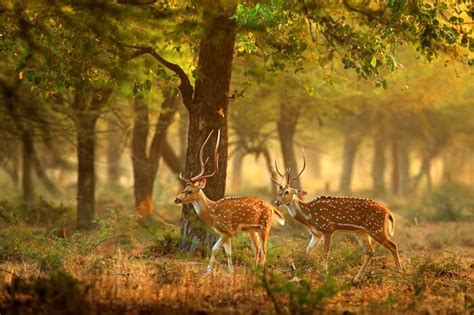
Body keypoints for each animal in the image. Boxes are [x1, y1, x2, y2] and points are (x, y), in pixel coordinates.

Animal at [174, 130, 286, 272]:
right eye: (184, 188)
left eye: (189, 190)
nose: (177, 199)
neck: (213, 214)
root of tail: (272, 207)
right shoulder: (224, 232)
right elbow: (227, 252)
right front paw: (228, 272)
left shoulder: (228, 230)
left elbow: (215, 249)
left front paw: (209, 272)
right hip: (253, 230)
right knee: (257, 248)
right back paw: (254, 269)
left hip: (265, 225)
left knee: (264, 250)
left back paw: (261, 270)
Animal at [272, 149, 402, 282]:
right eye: (278, 192)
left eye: (287, 192)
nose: (276, 202)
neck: (309, 217)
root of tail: (388, 212)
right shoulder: (316, 234)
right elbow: (307, 250)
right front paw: (303, 273)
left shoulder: (327, 229)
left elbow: (325, 253)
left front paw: (324, 275)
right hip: (361, 232)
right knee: (369, 251)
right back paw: (357, 278)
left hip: (376, 228)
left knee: (393, 246)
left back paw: (399, 273)